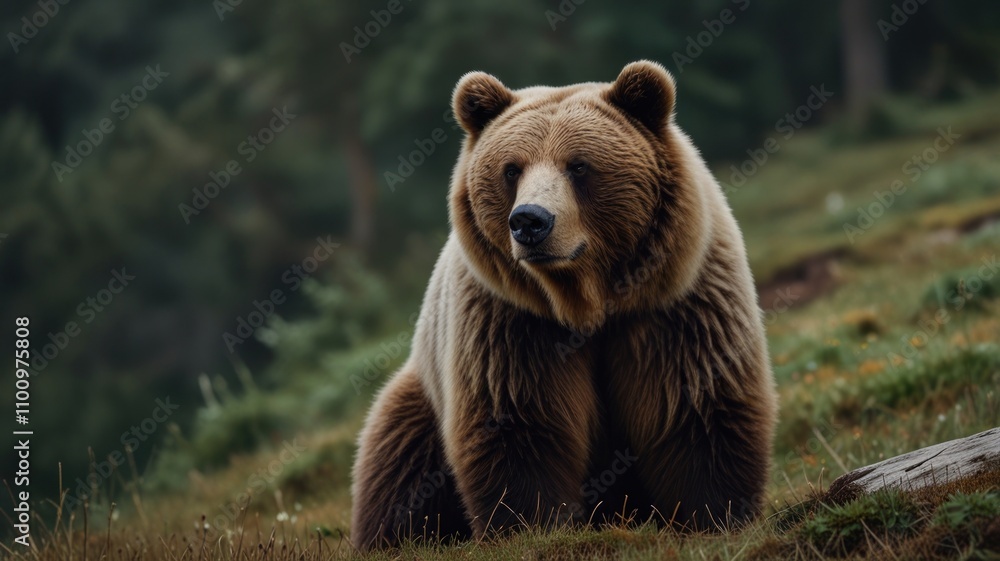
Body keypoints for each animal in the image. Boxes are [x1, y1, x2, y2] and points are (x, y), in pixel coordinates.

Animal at [350, 60, 778, 550]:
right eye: (511, 169)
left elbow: (696, 406)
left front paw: (716, 516)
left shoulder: (676, 305)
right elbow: (523, 426)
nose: (530, 221)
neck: (588, 300)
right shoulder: (512, 322)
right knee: (399, 471)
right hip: (420, 398)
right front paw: (531, 528)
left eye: (579, 165)